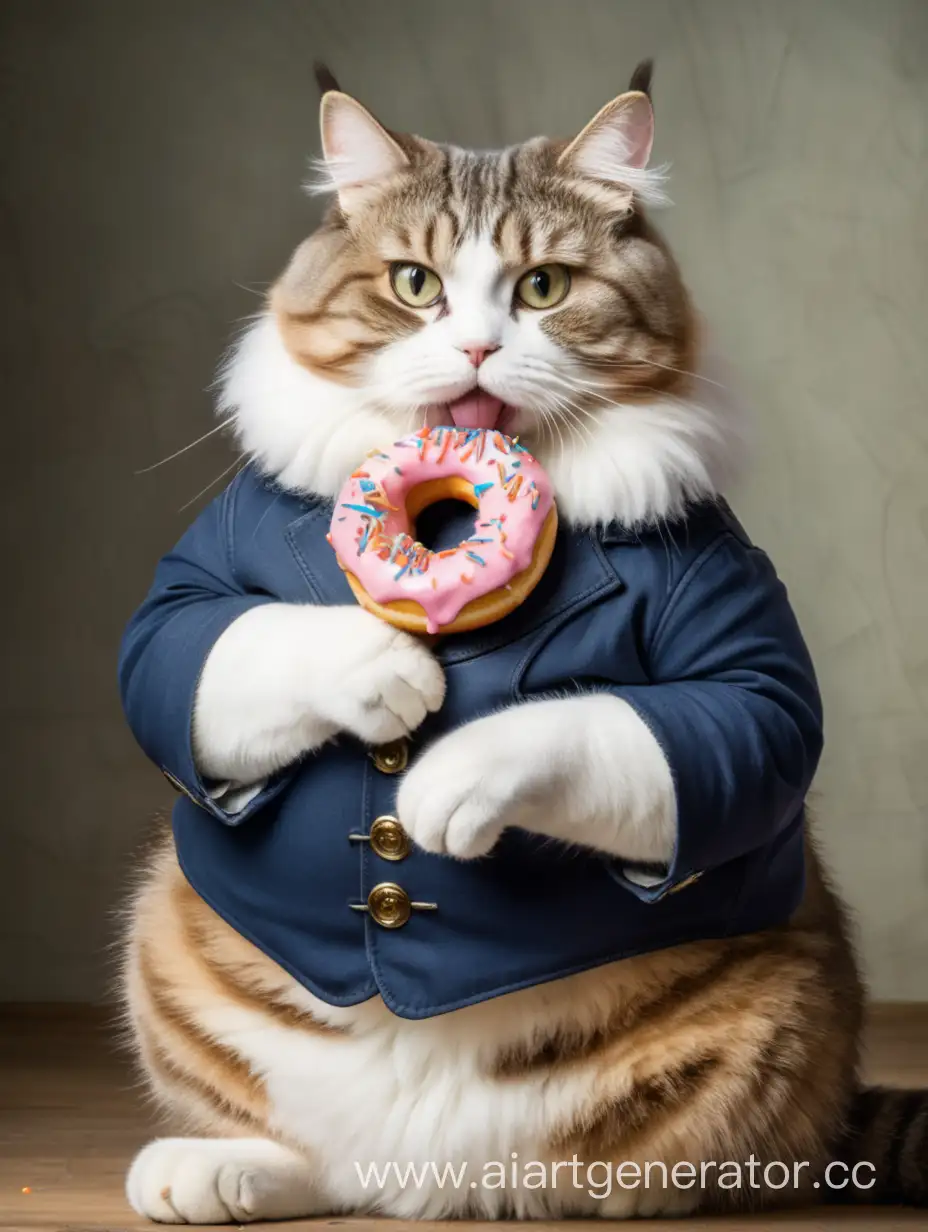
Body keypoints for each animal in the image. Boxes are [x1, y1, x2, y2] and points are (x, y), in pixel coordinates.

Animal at [117, 62, 926, 1217]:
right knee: (319, 1163)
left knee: (632, 1175)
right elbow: (213, 648)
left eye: (542, 288)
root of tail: (419, 1181)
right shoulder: (193, 594)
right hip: (166, 930)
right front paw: (384, 666)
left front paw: (452, 774)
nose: (476, 345)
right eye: (416, 284)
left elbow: (656, 727)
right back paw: (217, 1166)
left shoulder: (738, 648)